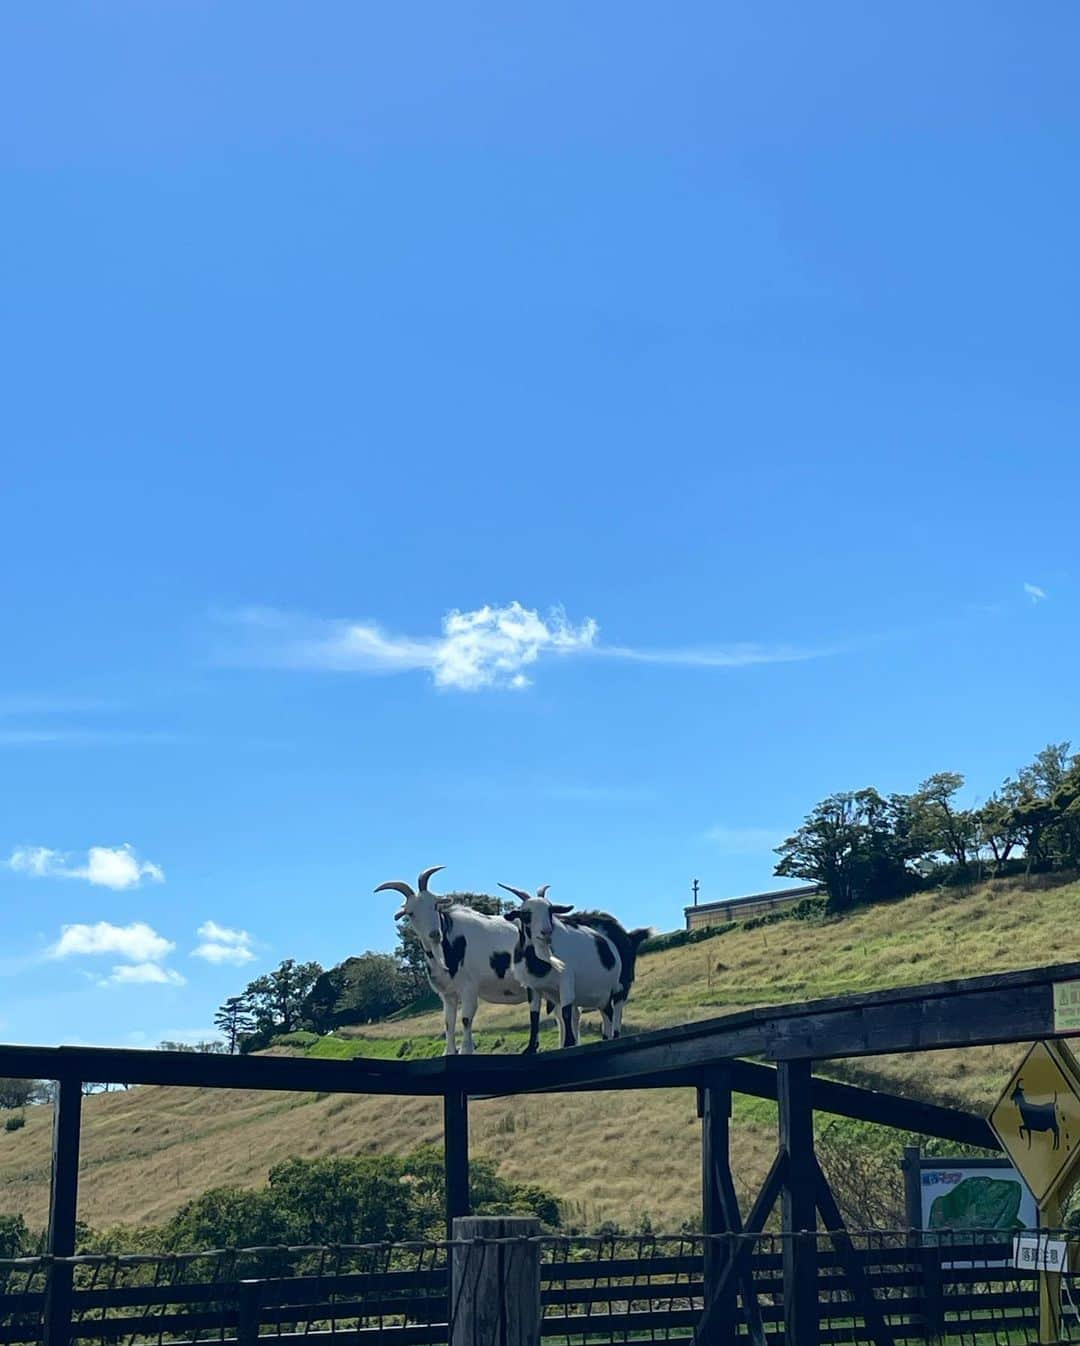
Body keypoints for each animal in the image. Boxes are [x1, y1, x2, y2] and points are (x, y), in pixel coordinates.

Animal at [371, 866, 527, 1055]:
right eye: (410, 912)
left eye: (435, 905)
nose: (434, 934)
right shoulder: (447, 994)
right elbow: (448, 1022)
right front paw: (449, 1051)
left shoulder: (469, 987)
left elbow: (466, 1019)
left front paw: (466, 1050)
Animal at [495, 882, 649, 1049]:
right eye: (526, 914)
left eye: (550, 910)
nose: (546, 932)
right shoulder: (533, 987)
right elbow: (534, 1016)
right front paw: (531, 1048)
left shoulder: (566, 980)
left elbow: (566, 1011)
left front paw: (569, 1043)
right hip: (603, 994)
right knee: (607, 1011)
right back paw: (604, 1038)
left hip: (620, 986)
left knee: (616, 1014)